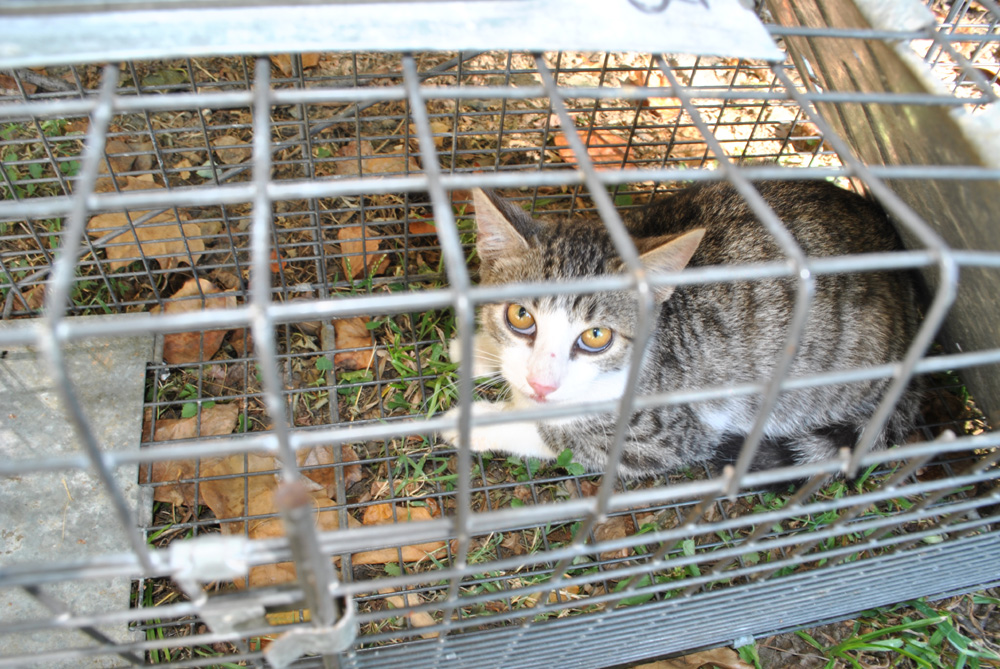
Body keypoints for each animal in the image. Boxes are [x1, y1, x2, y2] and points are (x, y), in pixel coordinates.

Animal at [442, 180, 924, 478]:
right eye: (521, 317)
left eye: (596, 337)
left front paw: (479, 421)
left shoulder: (672, 433)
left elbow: (566, 438)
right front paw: (478, 349)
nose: (541, 383)